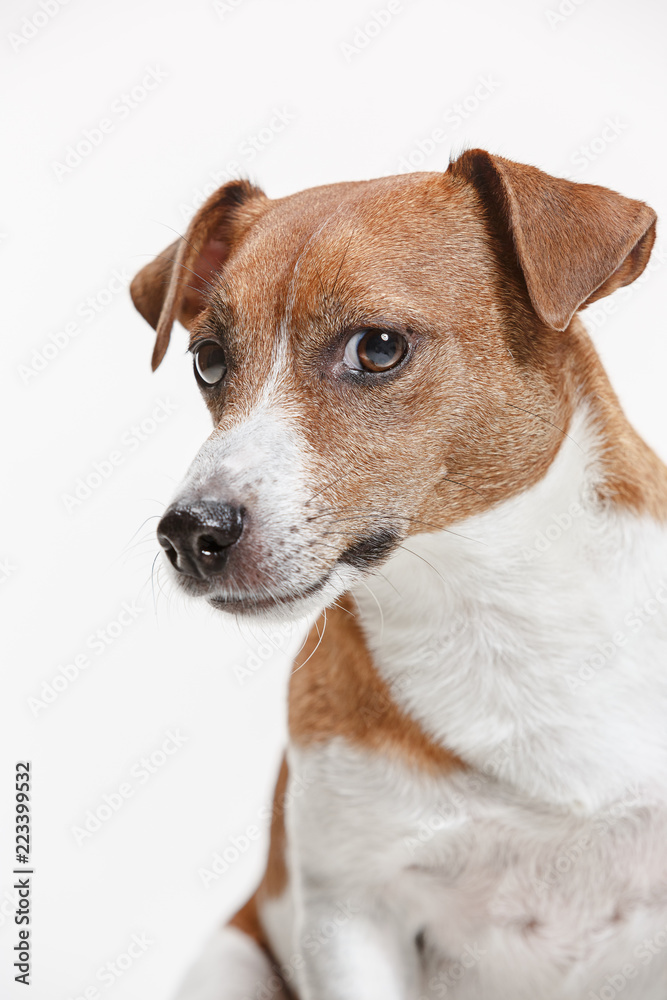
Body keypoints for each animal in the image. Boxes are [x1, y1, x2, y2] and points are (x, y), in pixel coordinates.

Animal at [129, 148, 667, 1000]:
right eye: (208, 362)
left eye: (377, 348)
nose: (189, 531)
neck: (492, 613)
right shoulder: (352, 915)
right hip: (231, 962)